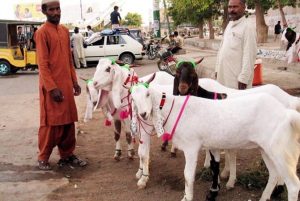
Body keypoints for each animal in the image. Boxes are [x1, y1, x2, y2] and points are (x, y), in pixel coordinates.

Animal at [131, 84, 300, 201]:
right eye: (133, 98)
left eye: (147, 94)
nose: (143, 114)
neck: (175, 108)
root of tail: (288, 114)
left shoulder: (191, 147)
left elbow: (188, 175)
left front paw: (187, 197)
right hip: (267, 150)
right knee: (274, 175)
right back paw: (264, 197)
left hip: (281, 152)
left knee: (293, 185)